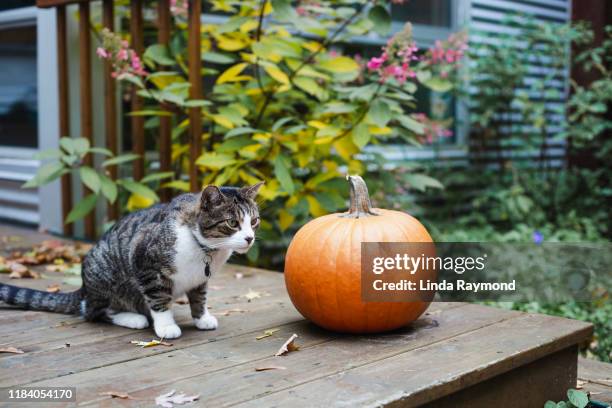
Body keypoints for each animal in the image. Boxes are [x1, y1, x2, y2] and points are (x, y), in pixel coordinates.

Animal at [0, 183, 260, 340]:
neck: (206, 250)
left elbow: (199, 297)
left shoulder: (199, 278)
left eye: (254, 221)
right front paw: (166, 326)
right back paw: (133, 318)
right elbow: (158, 300)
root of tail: (84, 289)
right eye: (232, 223)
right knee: (94, 311)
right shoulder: (146, 264)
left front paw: (202, 318)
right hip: (104, 276)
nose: (250, 238)